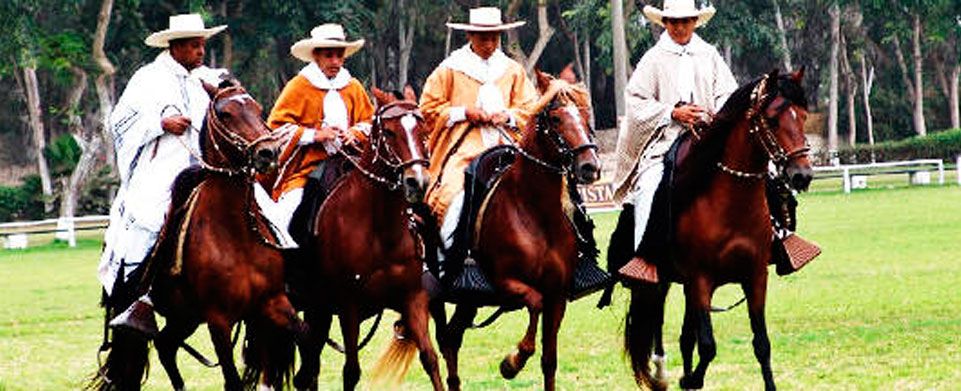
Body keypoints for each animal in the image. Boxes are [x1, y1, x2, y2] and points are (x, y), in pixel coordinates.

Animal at [91, 81, 304, 390]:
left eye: (257, 108)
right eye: (226, 114)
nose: (268, 153)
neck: (235, 233)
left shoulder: (272, 302)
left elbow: (305, 337)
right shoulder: (219, 321)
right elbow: (233, 380)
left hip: (184, 317)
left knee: (166, 346)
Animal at [290, 87, 444, 390]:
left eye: (422, 128)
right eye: (390, 131)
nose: (417, 182)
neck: (380, 229)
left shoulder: (413, 297)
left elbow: (430, 358)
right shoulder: (348, 306)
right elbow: (351, 371)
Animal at [428, 71, 600, 391]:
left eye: (584, 115)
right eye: (555, 118)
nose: (589, 167)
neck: (536, 213)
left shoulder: (557, 295)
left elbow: (549, 359)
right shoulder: (505, 282)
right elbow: (534, 303)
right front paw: (511, 363)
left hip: (467, 302)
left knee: (452, 339)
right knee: (441, 342)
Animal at [620, 69, 812, 390]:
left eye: (804, 116)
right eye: (773, 119)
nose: (802, 175)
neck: (730, 206)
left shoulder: (755, 277)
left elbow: (761, 344)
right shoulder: (701, 280)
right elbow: (708, 346)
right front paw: (689, 379)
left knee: (686, 338)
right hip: (661, 281)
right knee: (657, 322)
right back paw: (660, 371)